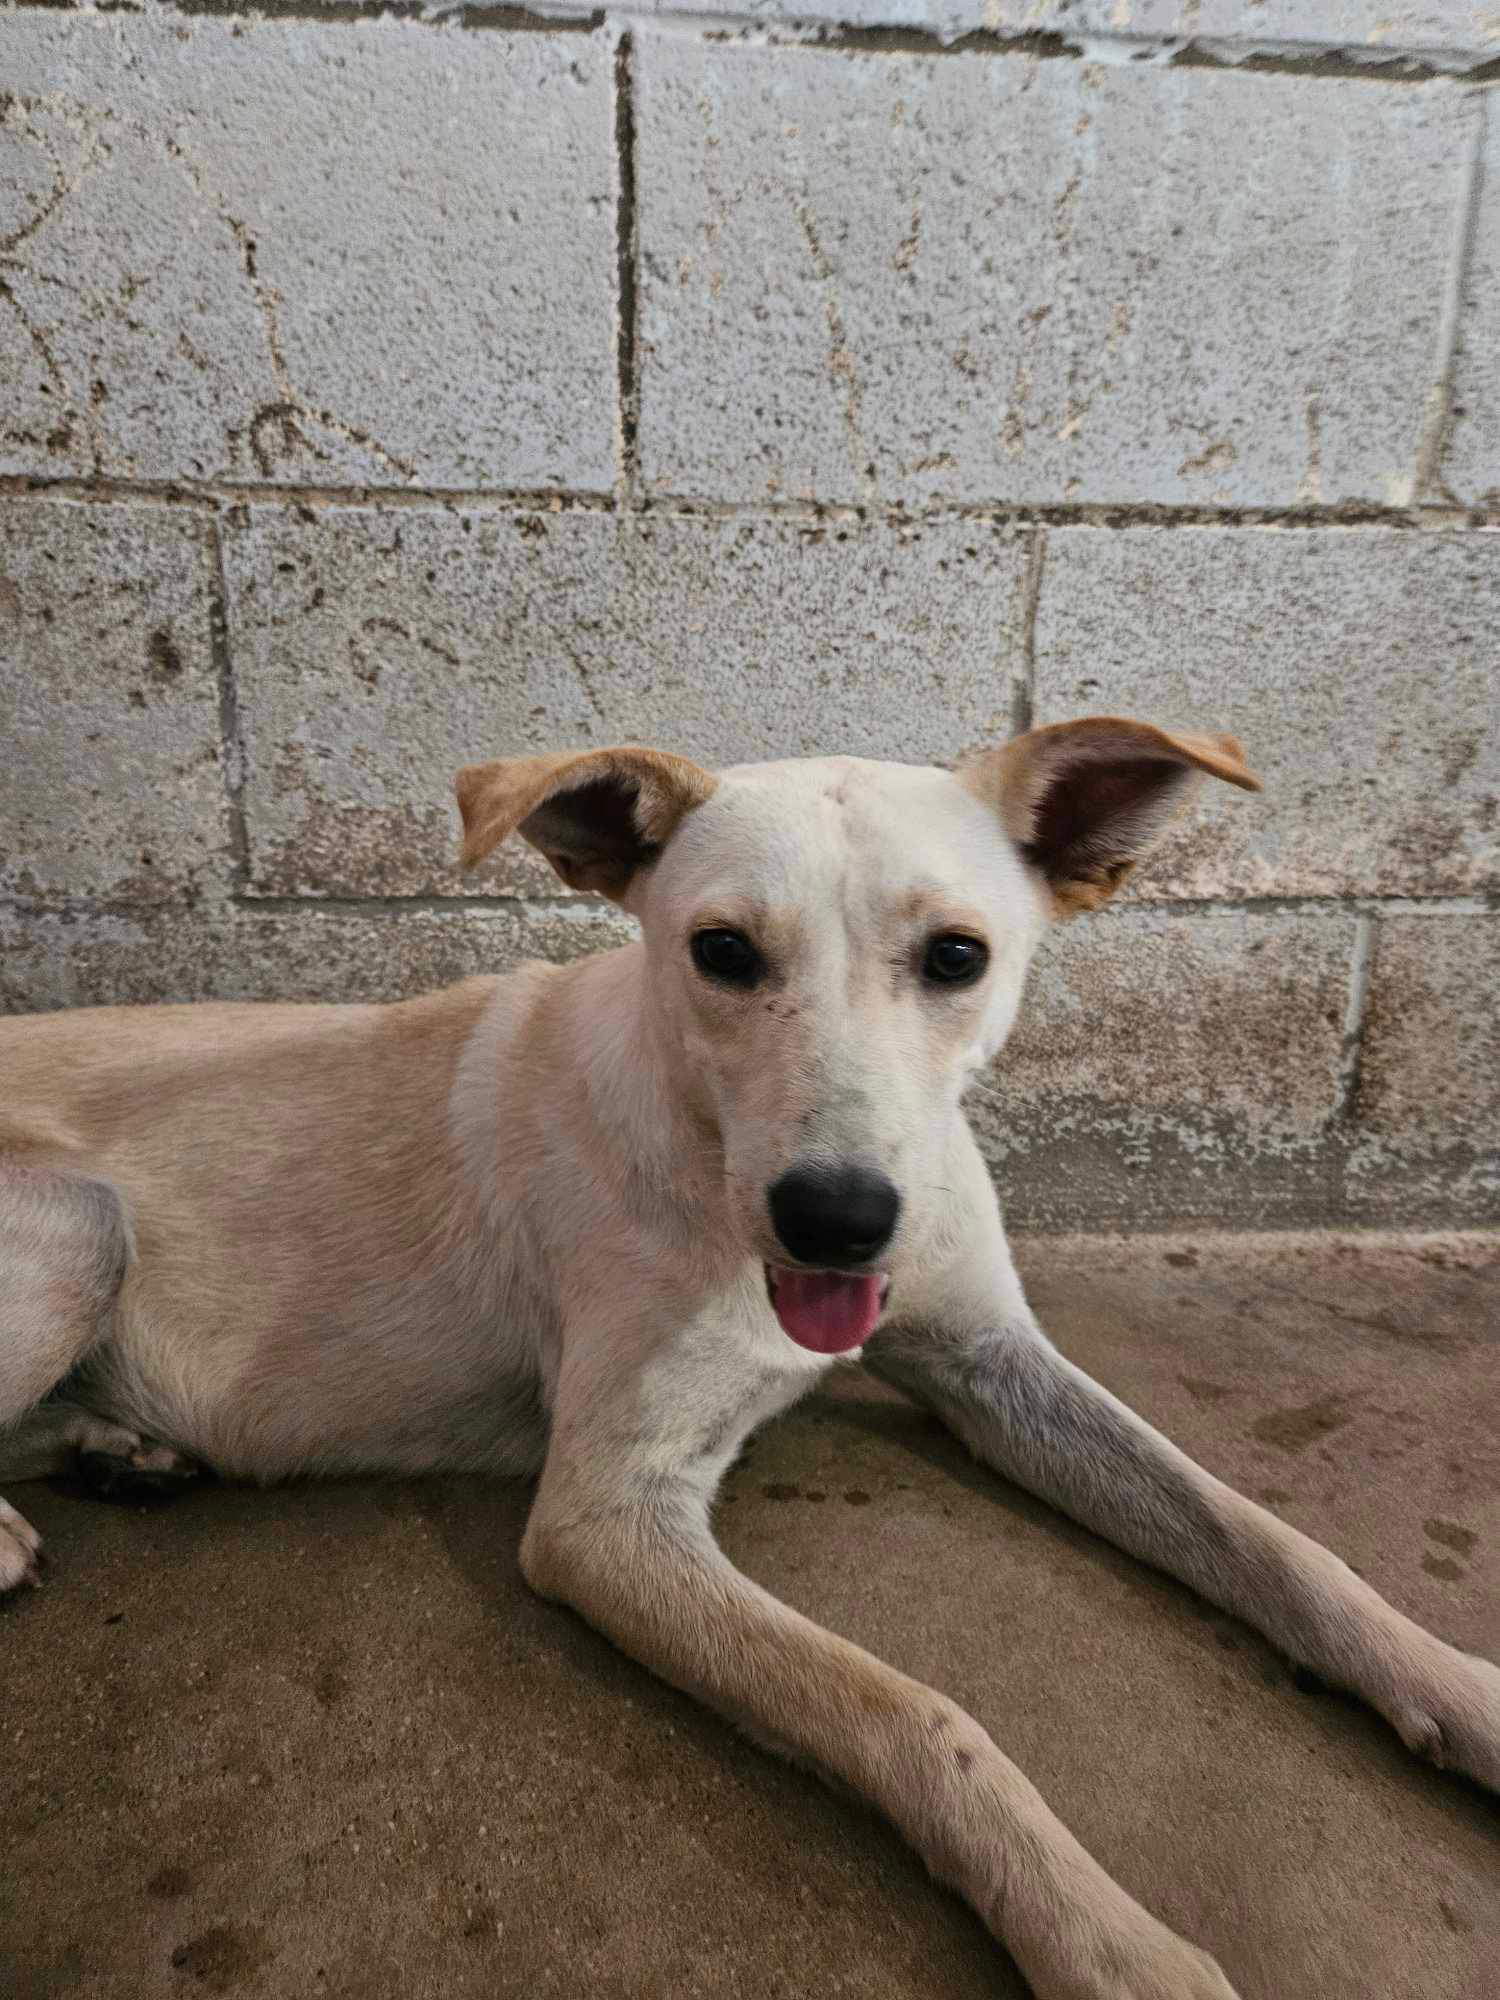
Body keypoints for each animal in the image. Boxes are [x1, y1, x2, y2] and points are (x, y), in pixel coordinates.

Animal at [2, 724, 1500, 2000]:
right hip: (80, 1218)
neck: (704, 1148)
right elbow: (916, 1713)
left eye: (957, 956)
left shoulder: (991, 1360)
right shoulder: (607, 1519)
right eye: (720, 951)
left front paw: (1458, 1689)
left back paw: (114, 1447)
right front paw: (1107, 1937)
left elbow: (1267, 1539)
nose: (837, 1215)